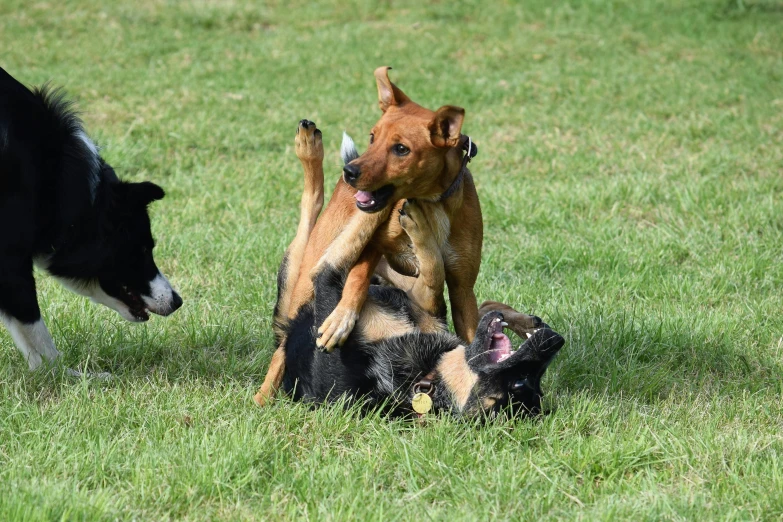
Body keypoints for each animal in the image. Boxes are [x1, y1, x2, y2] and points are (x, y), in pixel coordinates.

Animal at [254, 67, 484, 404]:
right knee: (280, 348)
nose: (350, 172)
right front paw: (340, 319)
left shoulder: (461, 288)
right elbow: (357, 277)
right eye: (373, 137)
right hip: (308, 276)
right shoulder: (374, 247)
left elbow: (468, 331)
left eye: (401, 149)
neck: (431, 204)